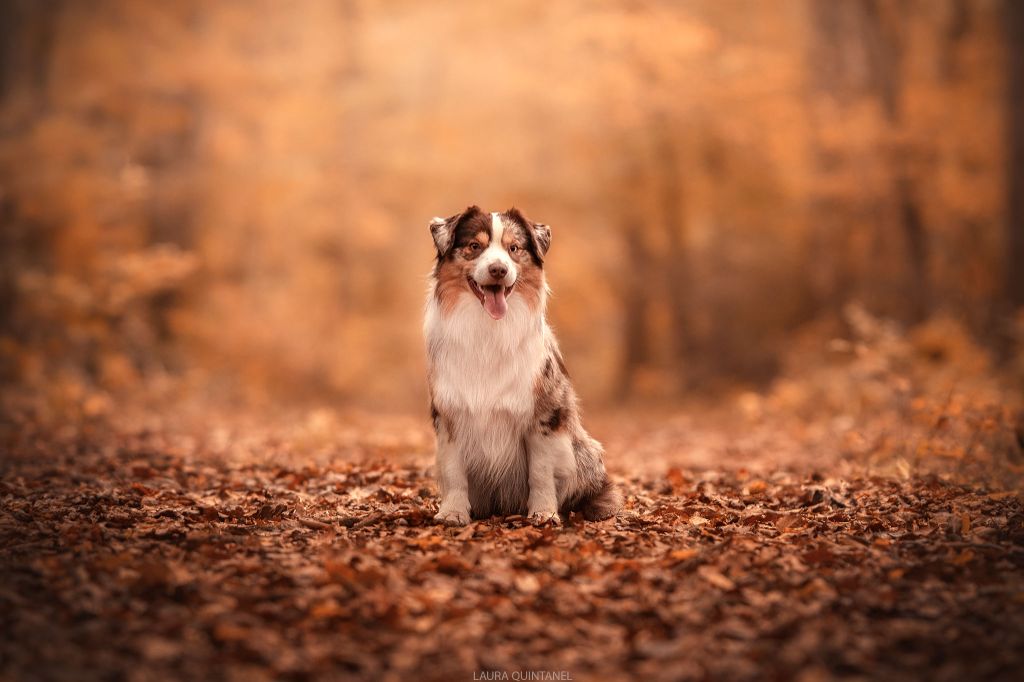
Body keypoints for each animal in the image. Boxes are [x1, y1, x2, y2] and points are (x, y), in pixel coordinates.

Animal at [421, 204, 618, 522]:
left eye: (513, 248)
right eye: (474, 246)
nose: (498, 270)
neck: (488, 329)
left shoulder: (544, 415)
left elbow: (540, 472)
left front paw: (544, 513)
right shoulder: (450, 412)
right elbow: (454, 471)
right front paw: (453, 512)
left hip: (584, 449)